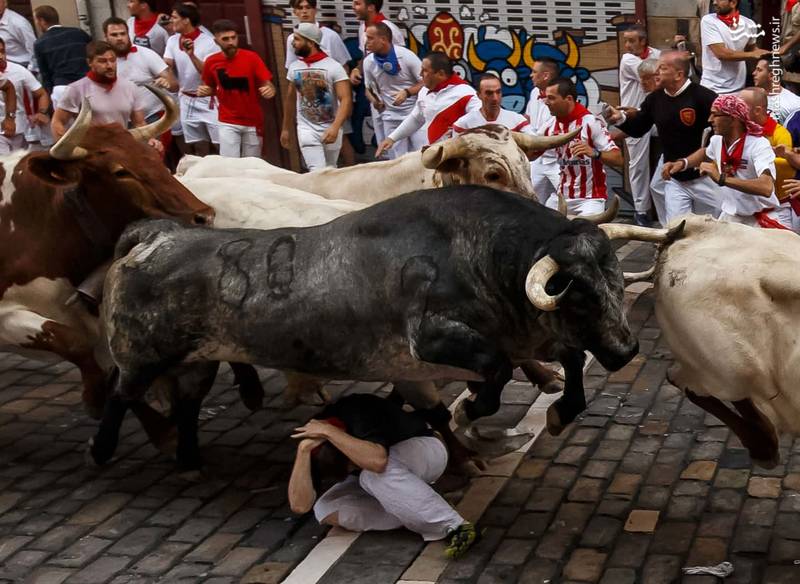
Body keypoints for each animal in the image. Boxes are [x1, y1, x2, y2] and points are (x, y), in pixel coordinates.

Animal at [94, 187, 640, 470]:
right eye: (580, 292)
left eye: (614, 277)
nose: (626, 351)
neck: (477, 253)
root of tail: (158, 234)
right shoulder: (434, 337)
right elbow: (497, 370)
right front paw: (472, 408)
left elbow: (570, 360)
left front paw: (561, 411)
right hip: (142, 357)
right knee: (119, 393)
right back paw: (101, 451)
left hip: (194, 362)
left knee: (186, 402)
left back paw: (188, 456)